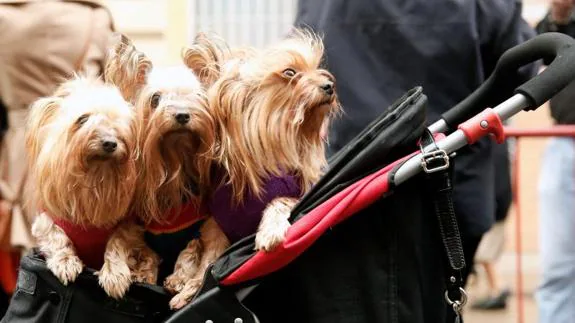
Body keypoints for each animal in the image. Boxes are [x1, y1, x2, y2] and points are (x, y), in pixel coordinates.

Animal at [26, 75, 159, 298]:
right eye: (82, 119)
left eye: (119, 124)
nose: (110, 142)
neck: (95, 177)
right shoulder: (47, 222)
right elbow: (56, 238)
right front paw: (65, 262)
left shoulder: (128, 227)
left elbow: (117, 243)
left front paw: (115, 274)